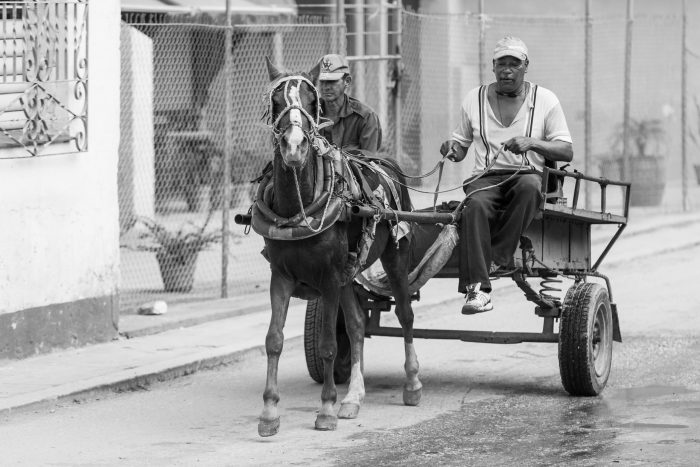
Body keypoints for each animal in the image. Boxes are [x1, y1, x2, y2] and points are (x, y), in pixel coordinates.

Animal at [253, 58, 422, 438]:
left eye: (312, 101)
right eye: (275, 101)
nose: (295, 146)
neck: (298, 205)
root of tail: (383, 161)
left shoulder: (329, 277)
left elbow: (329, 345)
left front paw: (326, 409)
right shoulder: (280, 275)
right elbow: (274, 340)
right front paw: (269, 412)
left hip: (395, 256)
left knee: (405, 315)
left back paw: (412, 384)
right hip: (349, 272)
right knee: (358, 324)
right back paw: (353, 397)